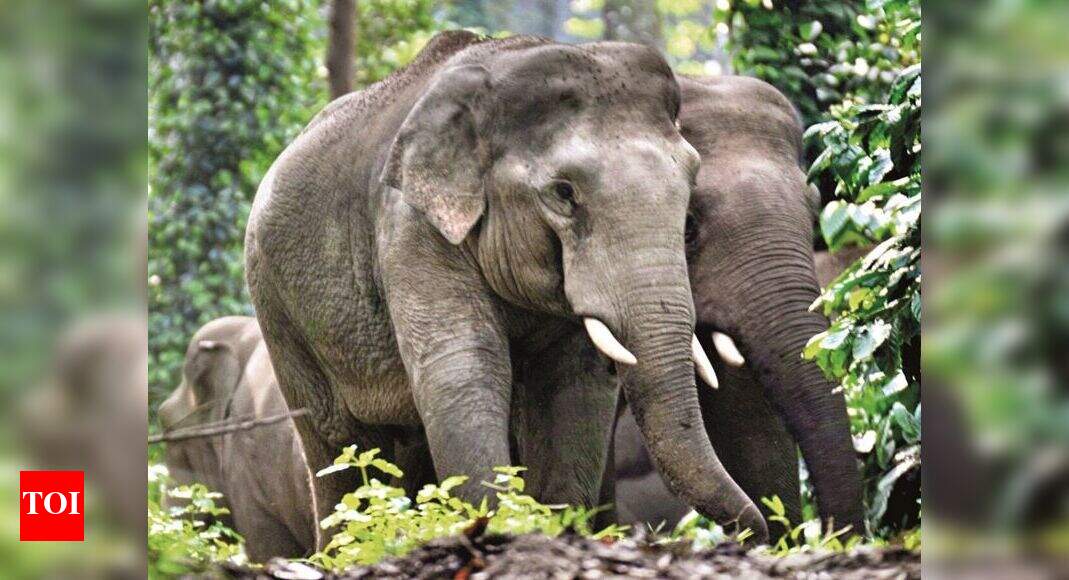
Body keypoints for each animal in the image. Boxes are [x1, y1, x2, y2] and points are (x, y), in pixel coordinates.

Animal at [244, 30, 769, 548]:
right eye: (564, 193)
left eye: (689, 192)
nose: (756, 533)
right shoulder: (410, 225)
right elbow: (465, 367)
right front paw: (496, 526)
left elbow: (573, 379)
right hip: (277, 308)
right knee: (338, 442)